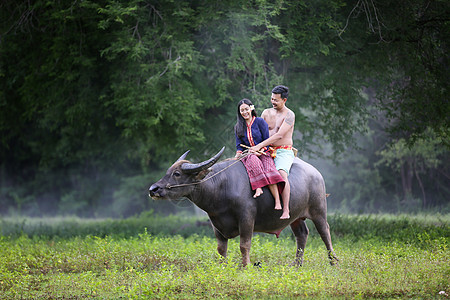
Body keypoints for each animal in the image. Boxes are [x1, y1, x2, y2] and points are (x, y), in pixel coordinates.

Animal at [149, 148, 338, 268]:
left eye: (177, 174)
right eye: (168, 172)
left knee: (325, 232)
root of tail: (316, 173)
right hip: (295, 216)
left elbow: (244, 245)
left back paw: (333, 262)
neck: (221, 187)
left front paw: (246, 266)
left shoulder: (247, 218)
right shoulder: (216, 223)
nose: (153, 189)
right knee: (302, 234)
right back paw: (297, 264)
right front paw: (222, 267)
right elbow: (221, 249)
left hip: (319, 211)